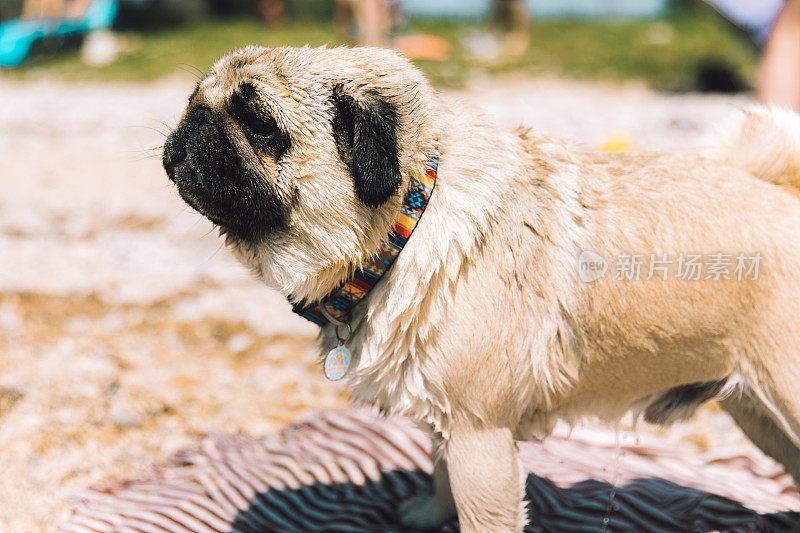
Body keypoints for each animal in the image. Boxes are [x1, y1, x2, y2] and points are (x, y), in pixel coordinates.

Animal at [162, 46, 800, 532]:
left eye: (261, 125)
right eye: (196, 101)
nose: (195, 125)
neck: (410, 223)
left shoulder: (480, 437)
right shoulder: (446, 418)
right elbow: (438, 471)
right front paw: (429, 513)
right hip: (761, 416)